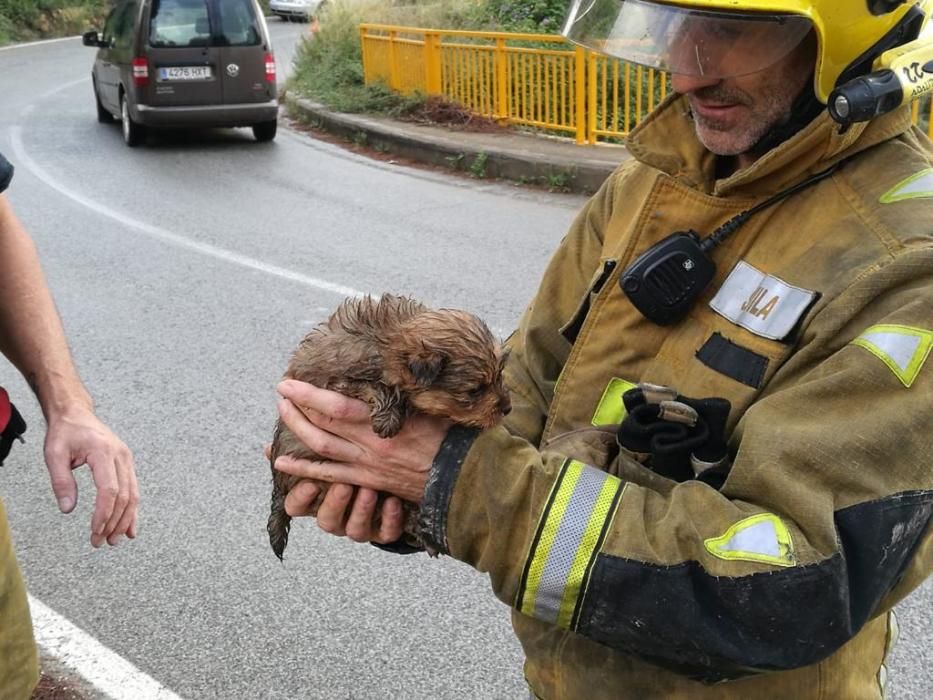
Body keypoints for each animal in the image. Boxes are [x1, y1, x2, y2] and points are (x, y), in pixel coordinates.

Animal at [266, 292, 506, 560]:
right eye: (474, 391)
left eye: (500, 375)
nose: (508, 407)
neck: (389, 345)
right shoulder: (336, 382)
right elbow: (375, 387)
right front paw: (388, 418)